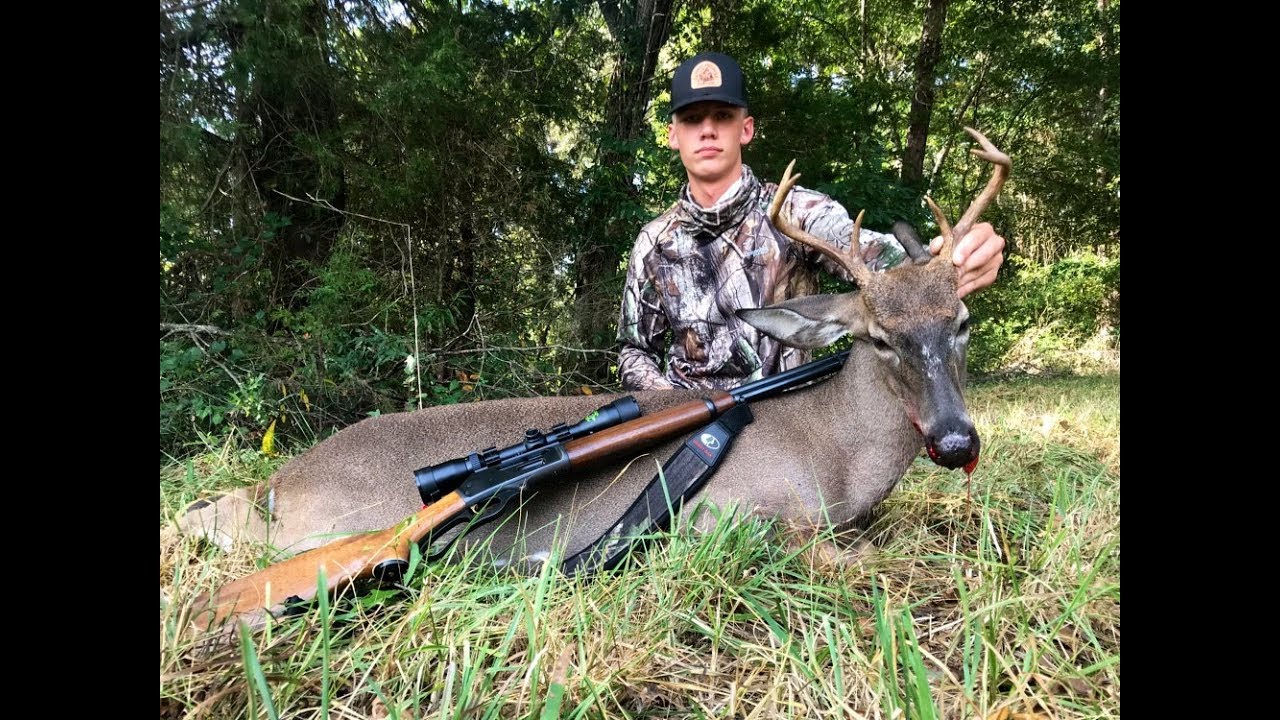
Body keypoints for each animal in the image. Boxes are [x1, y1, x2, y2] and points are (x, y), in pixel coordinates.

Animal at [178, 128, 1010, 581]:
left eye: (963, 319)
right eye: (879, 337)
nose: (954, 439)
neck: (834, 456)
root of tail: (282, 482)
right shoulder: (728, 517)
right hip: (331, 525)